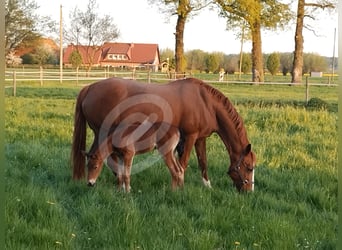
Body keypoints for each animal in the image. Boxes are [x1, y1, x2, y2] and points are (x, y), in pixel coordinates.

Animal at [71, 77, 255, 191]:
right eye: (249, 167)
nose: (249, 191)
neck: (205, 103)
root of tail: (89, 88)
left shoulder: (200, 138)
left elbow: (203, 162)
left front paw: (207, 186)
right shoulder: (190, 137)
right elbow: (183, 163)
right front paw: (180, 186)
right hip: (102, 133)